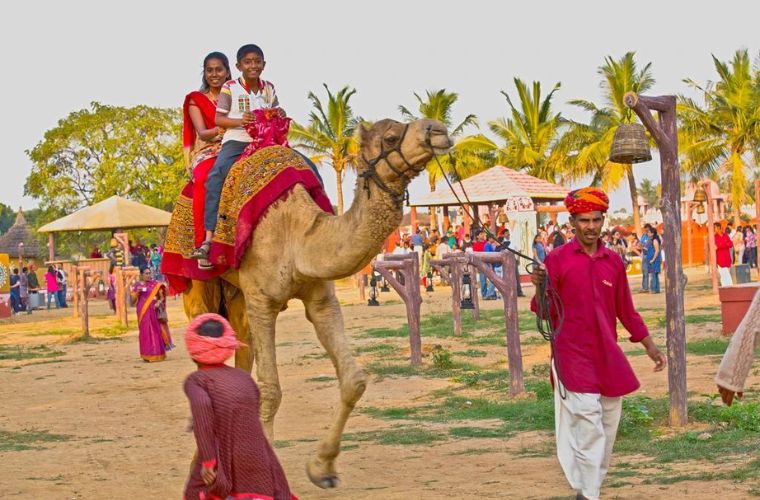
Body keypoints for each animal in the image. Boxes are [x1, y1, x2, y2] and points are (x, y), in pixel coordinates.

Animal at [180, 118, 452, 488]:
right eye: (391, 136)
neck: (298, 236)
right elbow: (270, 390)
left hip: (235, 296)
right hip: (198, 284)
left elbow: (354, 381)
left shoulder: (321, 298)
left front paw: (322, 468)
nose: (437, 129)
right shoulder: (262, 300)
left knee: (239, 349)